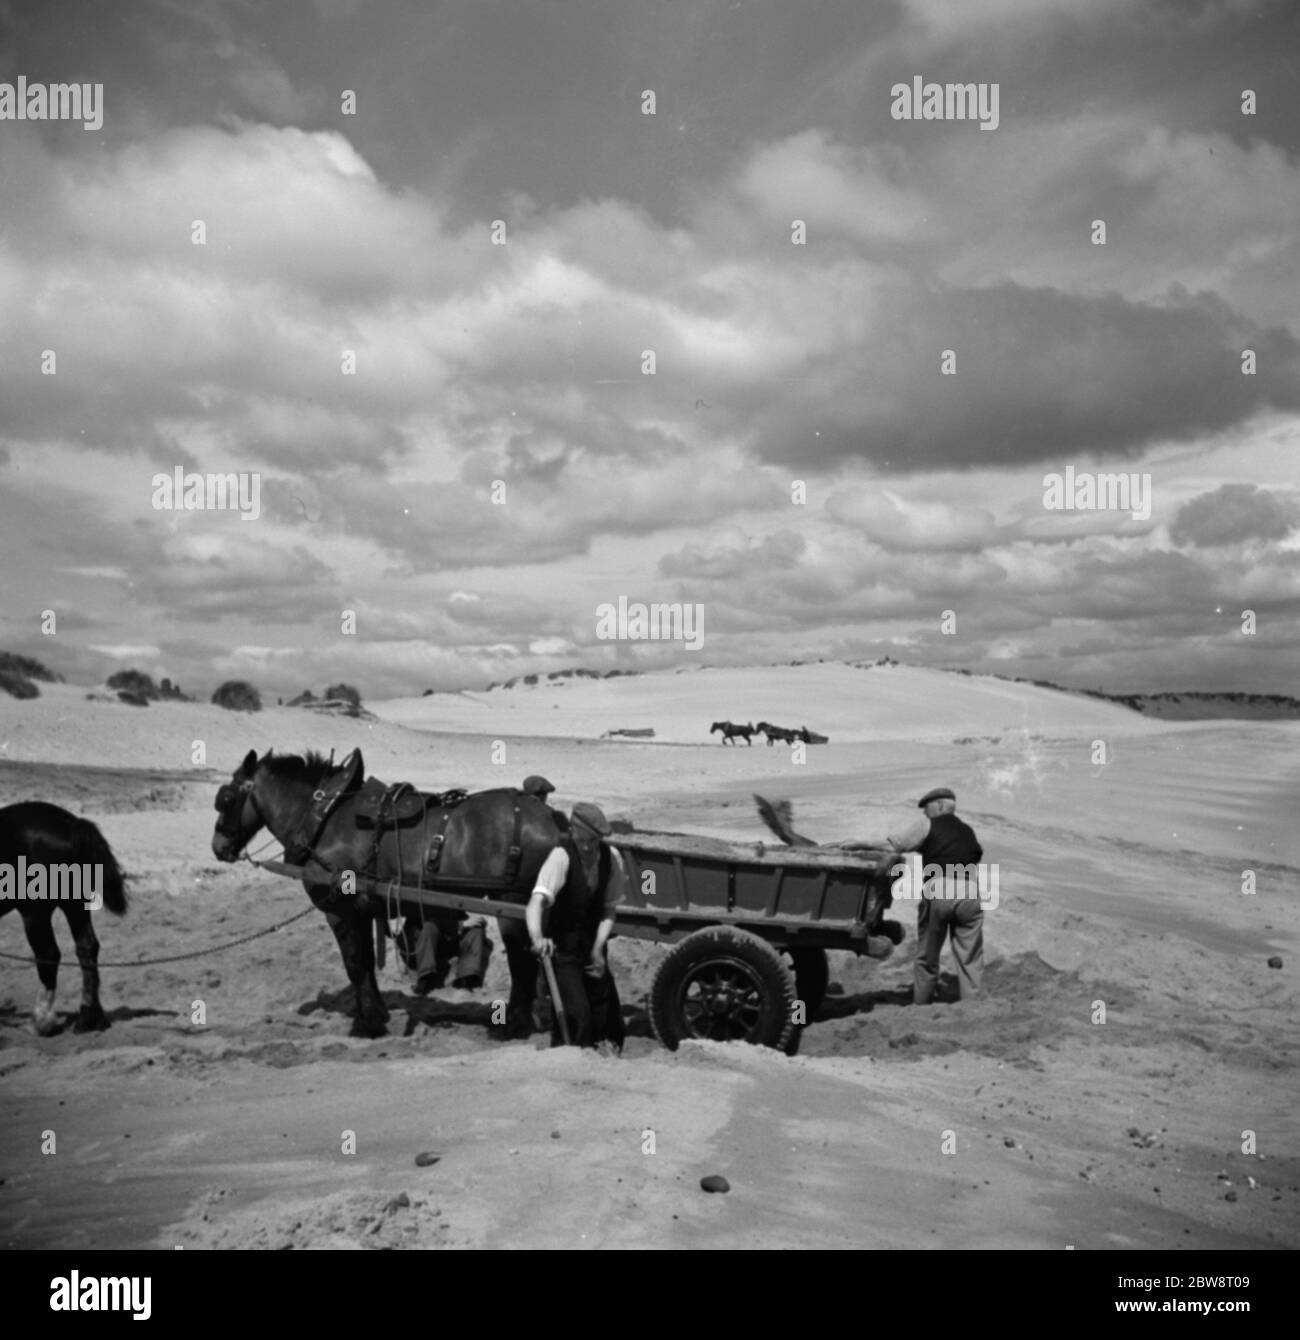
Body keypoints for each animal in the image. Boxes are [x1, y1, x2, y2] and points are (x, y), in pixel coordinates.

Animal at [0, 801, 128, 1035]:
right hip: (74, 904)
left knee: (49, 954)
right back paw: (89, 1018)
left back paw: (42, 1021)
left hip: (35, 913)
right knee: (87, 948)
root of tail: (74, 825)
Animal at [211, 750, 564, 1038]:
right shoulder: (363, 910)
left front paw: (366, 1024)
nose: (218, 847)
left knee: (523, 962)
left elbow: (354, 963)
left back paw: (515, 1025)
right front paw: (375, 1014)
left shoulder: (340, 911)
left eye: (225, 799)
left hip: (513, 903)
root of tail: (551, 818)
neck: (325, 815)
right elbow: (366, 962)